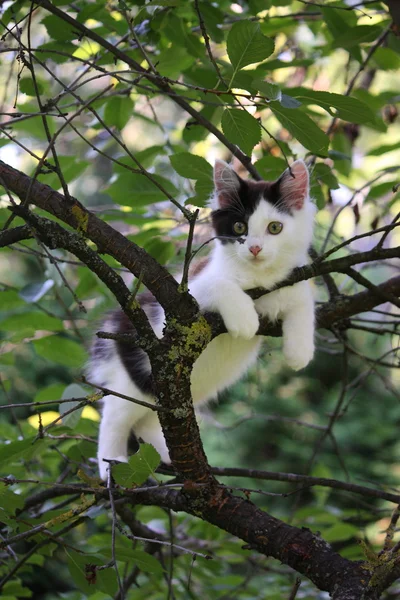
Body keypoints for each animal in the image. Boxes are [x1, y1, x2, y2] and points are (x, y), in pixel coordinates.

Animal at [90, 158, 316, 478]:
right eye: (239, 227)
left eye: (275, 228)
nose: (255, 248)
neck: (259, 279)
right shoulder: (188, 291)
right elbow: (221, 285)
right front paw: (245, 320)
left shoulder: (293, 281)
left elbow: (303, 302)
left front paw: (300, 351)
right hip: (134, 381)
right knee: (114, 418)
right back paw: (111, 466)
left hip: (168, 397)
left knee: (148, 421)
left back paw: (163, 459)